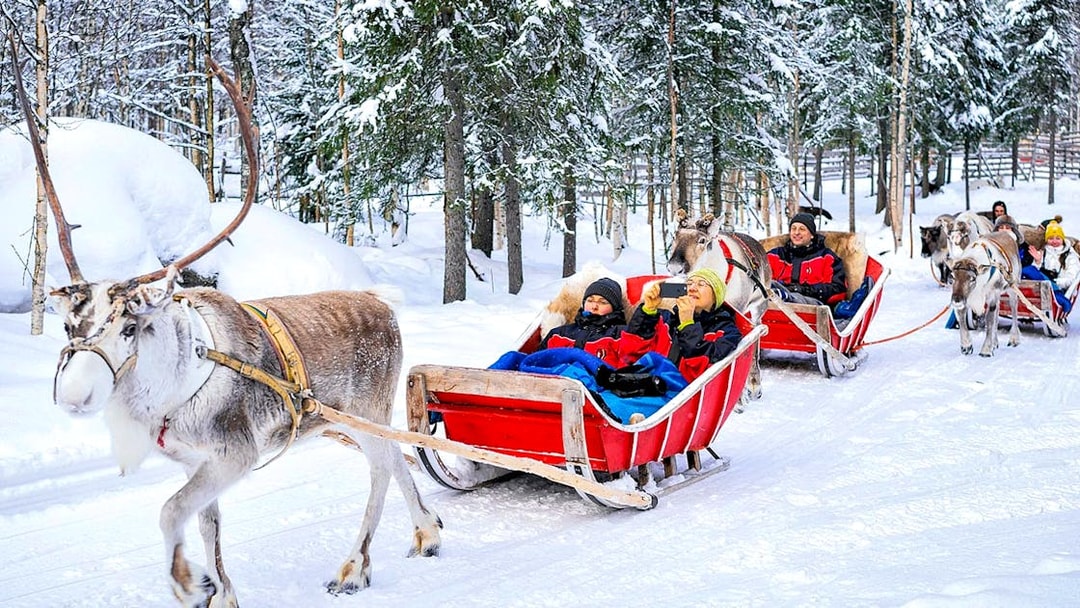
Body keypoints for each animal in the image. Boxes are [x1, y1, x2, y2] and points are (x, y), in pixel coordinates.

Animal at [18, 56, 442, 607]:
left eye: (130, 327)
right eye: (71, 323)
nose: (74, 396)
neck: (168, 390)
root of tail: (381, 304)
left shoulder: (235, 453)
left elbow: (169, 512)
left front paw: (186, 580)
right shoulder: (192, 460)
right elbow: (207, 525)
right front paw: (219, 590)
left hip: (367, 409)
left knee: (380, 468)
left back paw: (354, 566)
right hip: (353, 418)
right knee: (396, 456)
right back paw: (427, 532)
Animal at [666, 210, 771, 399]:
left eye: (702, 240)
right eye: (675, 235)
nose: (675, 267)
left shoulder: (740, 311)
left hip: (759, 307)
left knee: (757, 335)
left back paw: (754, 384)